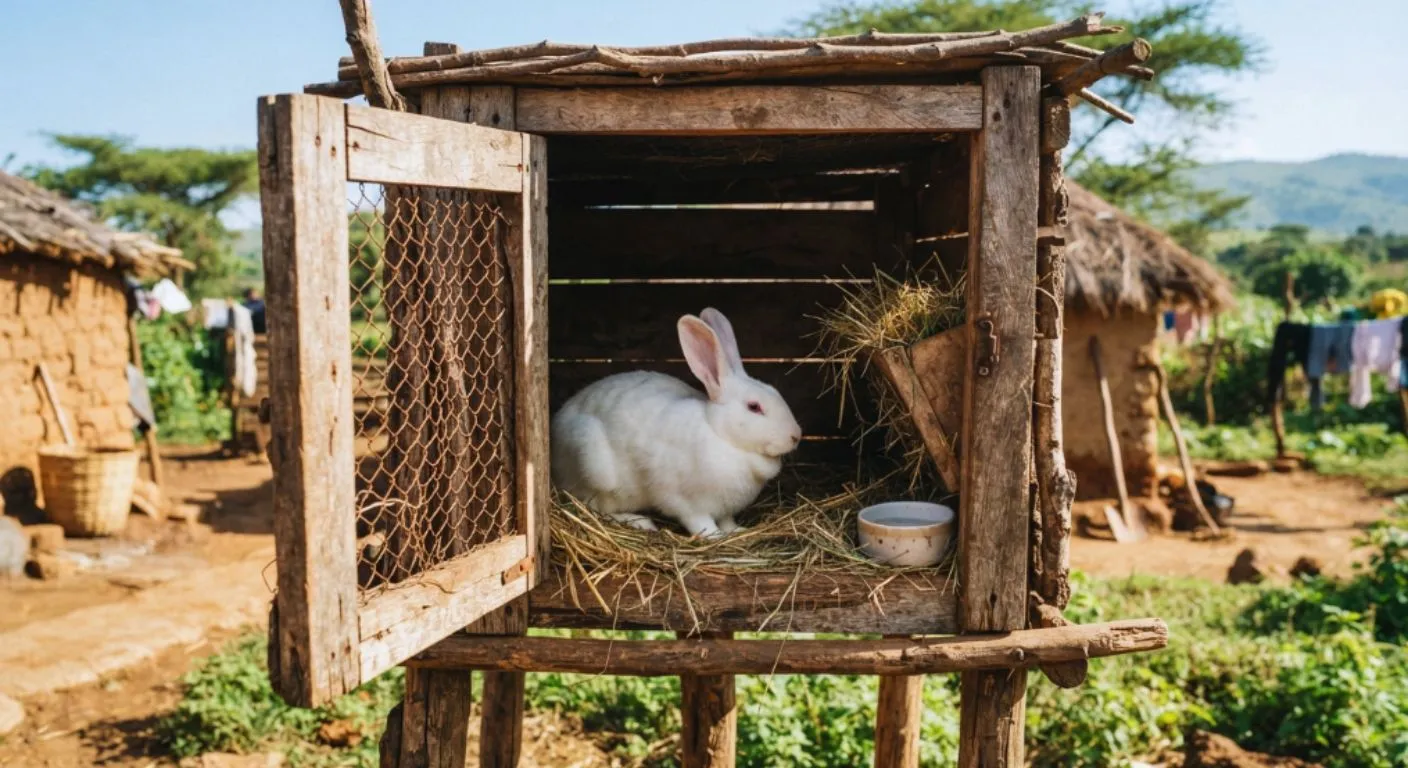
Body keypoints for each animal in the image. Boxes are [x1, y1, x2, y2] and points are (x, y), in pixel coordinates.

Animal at [550, 307, 803, 538]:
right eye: (754, 407)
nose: (796, 436)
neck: (720, 435)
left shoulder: (724, 508)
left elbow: (727, 520)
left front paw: (736, 531)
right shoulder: (685, 502)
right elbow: (700, 523)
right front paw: (716, 537)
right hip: (593, 466)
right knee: (594, 507)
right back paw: (640, 522)